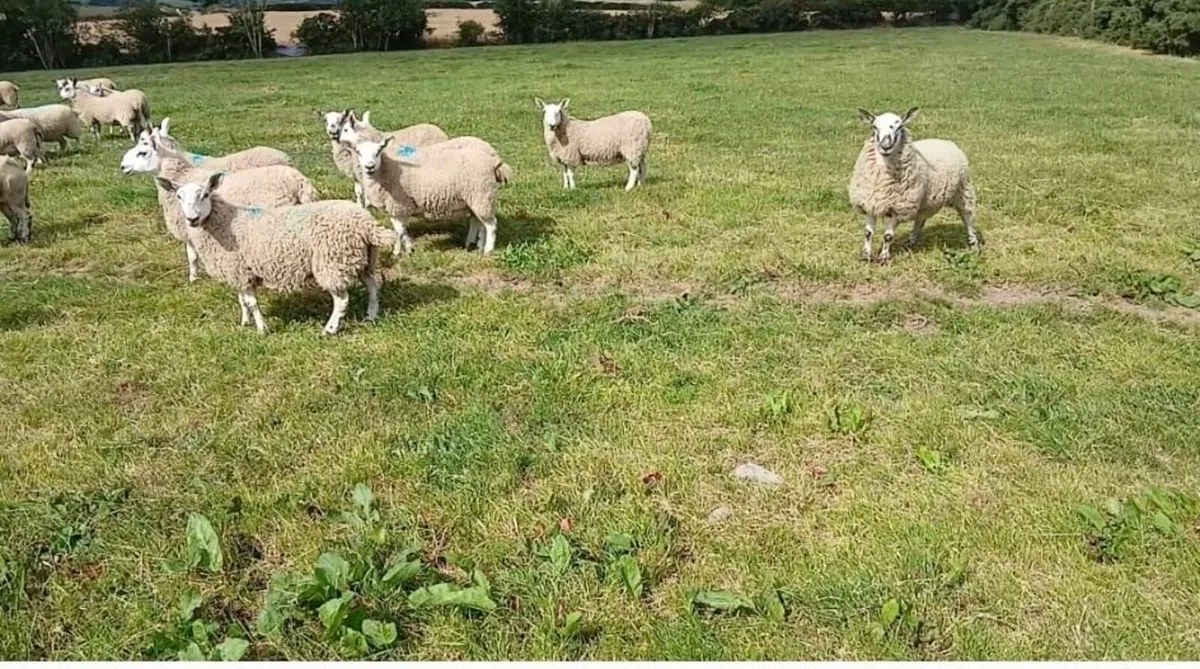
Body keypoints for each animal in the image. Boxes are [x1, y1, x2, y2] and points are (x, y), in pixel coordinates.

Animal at [121, 134, 319, 283]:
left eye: (142, 152)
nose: (122, 167)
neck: (182, 175)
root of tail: (300, 184)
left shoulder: (189, 227)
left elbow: (191, 256)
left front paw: (193, 279)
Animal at [157, 171, 398, 335]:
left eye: (205, 194)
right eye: (178, 197)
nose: (192, 219)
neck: (225, 223)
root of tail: (366, 223)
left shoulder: (240, 271)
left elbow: (252, 303)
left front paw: (262, 329)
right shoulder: (238, 271)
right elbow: (242, 300)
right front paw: (245, 322)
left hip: (332, 262)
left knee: (342, 300)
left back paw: (329, 329)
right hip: (362, 258)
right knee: (373, 286)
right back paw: (371, 316)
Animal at [320, 109, 449, 207]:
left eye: (345, 128)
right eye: (326, 121)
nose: (333, 132)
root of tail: (439, 131)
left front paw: (369, 205)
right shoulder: (356, 174)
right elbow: (358, 191)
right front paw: (360, 206)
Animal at [848, 107, 982, 263]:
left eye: (900, 126)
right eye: (874, 127)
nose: (885, 146)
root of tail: (944, 141)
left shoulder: (898, 208)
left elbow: (888, 236)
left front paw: (884, 258)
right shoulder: (869, 204)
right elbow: (868, 233)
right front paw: (866, 256)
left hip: (963, 190)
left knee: (968, 217)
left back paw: (973, 244)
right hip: (925, 200)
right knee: (920, 220)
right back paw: (910, 241)